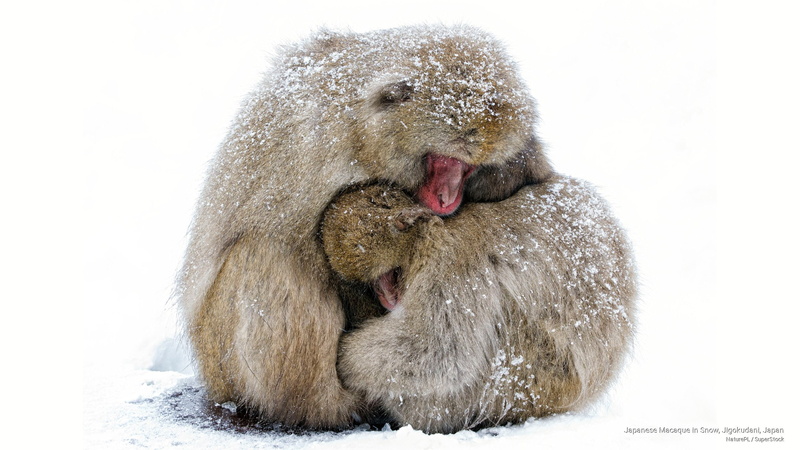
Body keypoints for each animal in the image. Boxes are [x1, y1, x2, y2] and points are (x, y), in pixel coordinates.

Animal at [175, 24, 636, 432]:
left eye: (468, 167)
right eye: (442, 159)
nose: (448, 199)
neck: (363, 133)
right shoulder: (319, 153)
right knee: (260, 255)